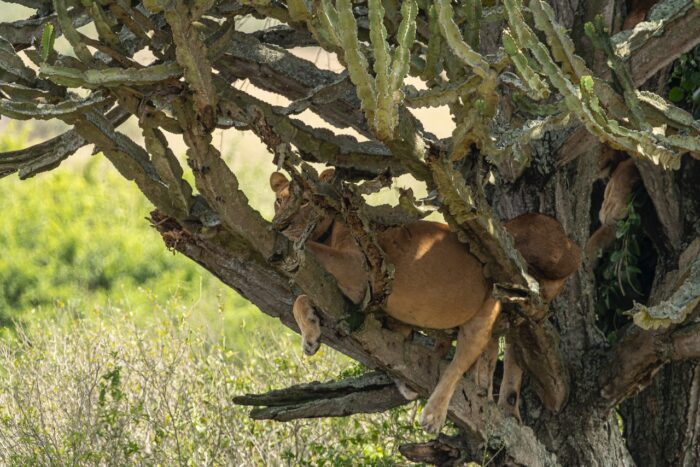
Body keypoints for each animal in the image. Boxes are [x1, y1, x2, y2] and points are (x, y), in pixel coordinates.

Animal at [270, 169, 581, 433]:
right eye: (278, 200)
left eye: (304, 202)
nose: (280, 226)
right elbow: (302, 297)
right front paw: (310, 335)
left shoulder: (358, 272)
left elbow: (309, 252)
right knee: (496, 356)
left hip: (500, 285)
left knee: (464, 357)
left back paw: (435, 413)